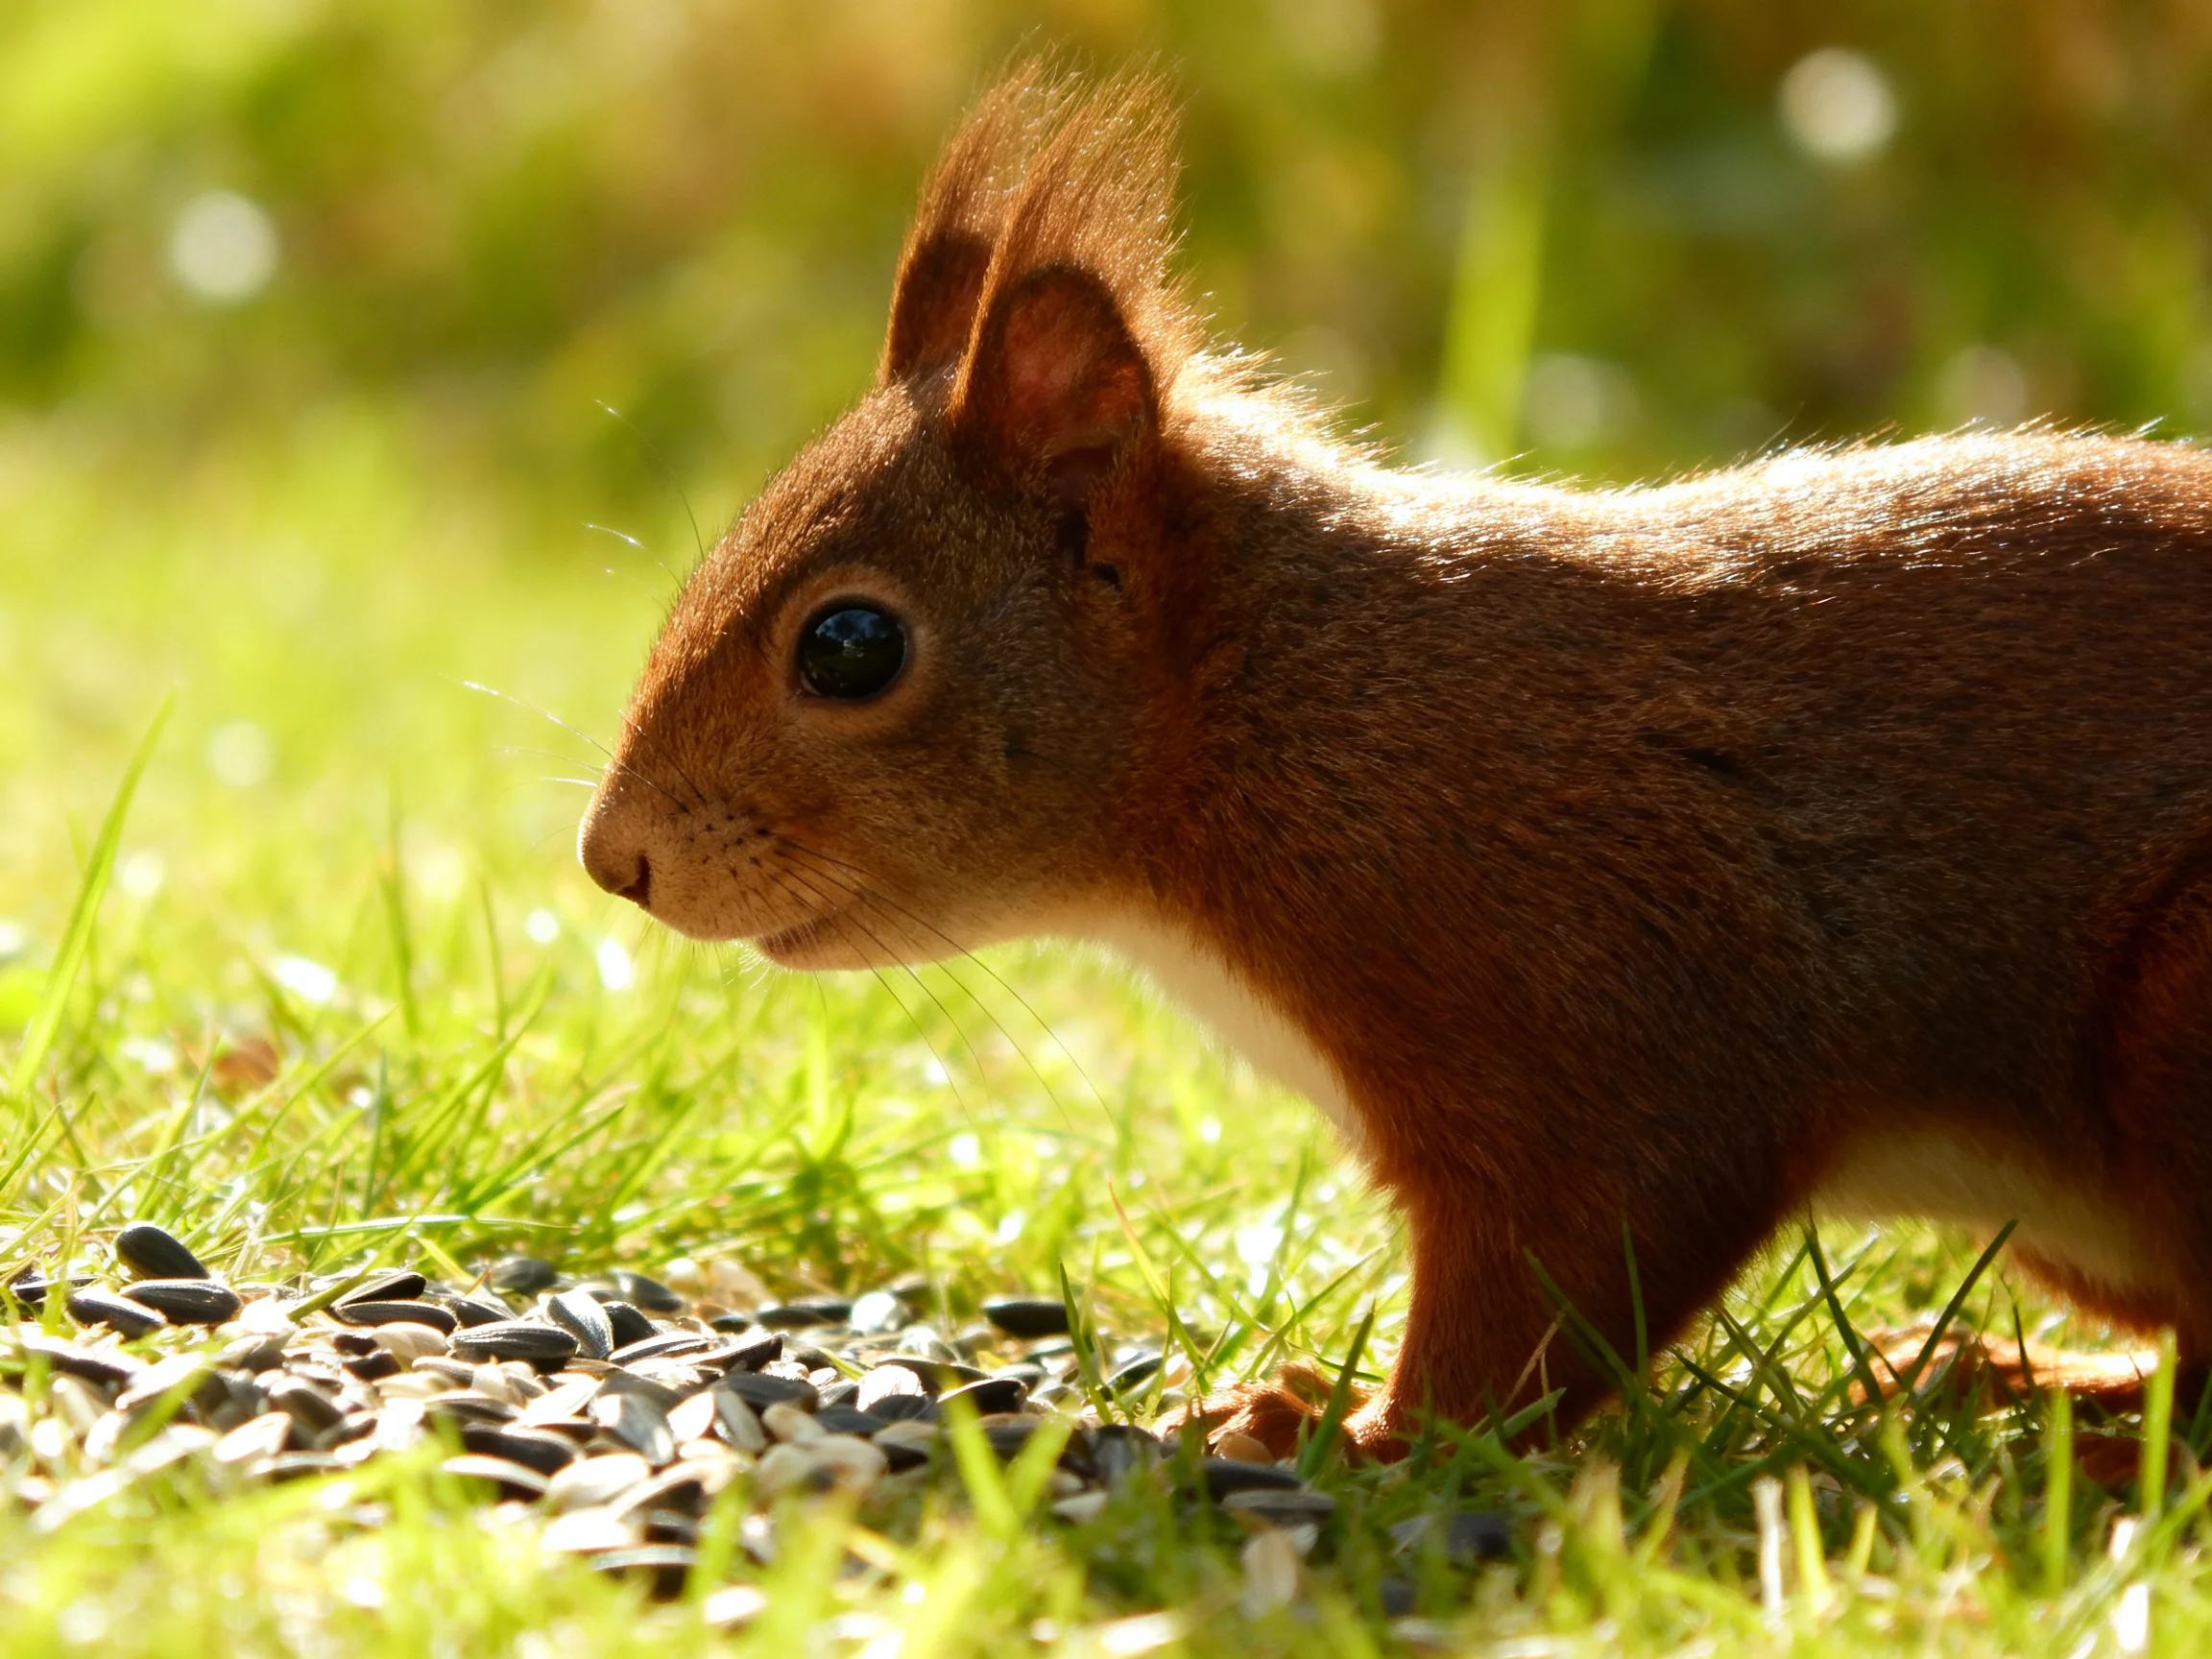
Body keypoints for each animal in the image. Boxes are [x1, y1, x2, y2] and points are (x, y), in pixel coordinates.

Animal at [580, 71, 2212, 1457]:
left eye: (850, 646)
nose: (615, 860)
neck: (1279, 716)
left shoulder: (1598, 989)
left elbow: (1570, 1271)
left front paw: (1351, 1440)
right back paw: (2033, 1383)